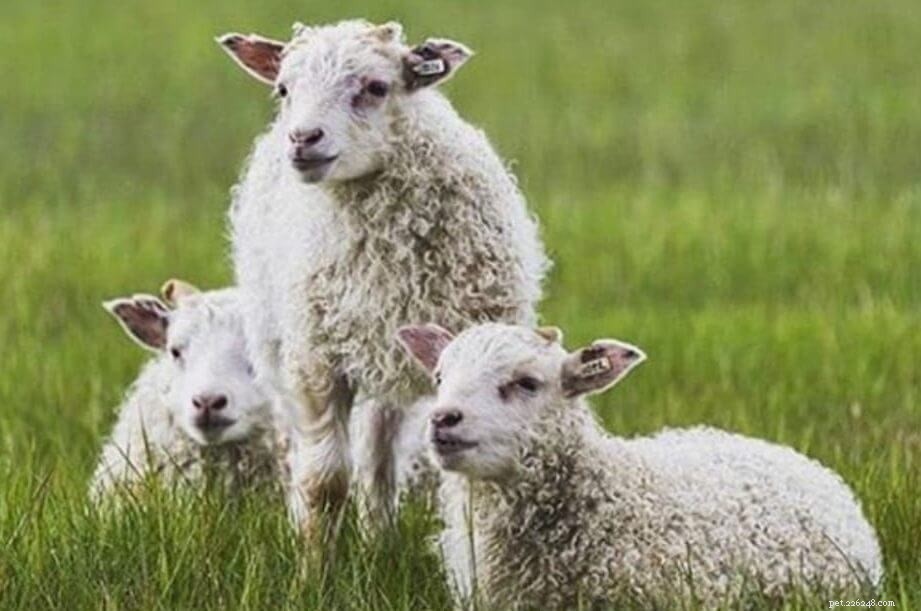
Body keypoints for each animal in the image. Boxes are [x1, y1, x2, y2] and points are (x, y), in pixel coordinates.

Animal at [217, 19, 549, 535]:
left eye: (375, 87)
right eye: (283, 89)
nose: (303, 138)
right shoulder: (316, 361)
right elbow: (324, 484)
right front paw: (314, 558)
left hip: (384, 361)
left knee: (378, 458)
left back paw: (379, 536)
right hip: (281, 347)